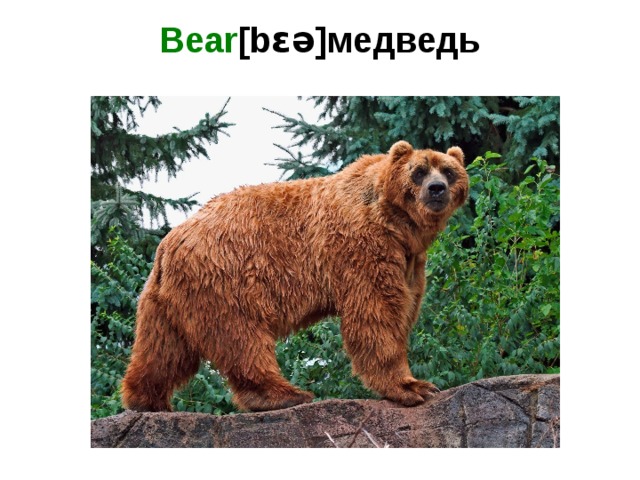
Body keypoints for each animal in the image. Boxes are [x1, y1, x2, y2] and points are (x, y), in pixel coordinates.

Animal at [121, 140, 469, 412]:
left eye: (449, 171)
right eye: (419, 171)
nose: (436, 189)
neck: (396, 223)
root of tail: (169, 243)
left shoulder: (409, 259)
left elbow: (405, 305)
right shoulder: (361, 246)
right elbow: (376, 312)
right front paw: (413, 386)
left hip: (168, 299)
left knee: (164, 348)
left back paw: (146, 399)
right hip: (225, 275)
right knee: (241, 336)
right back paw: (284, 394)